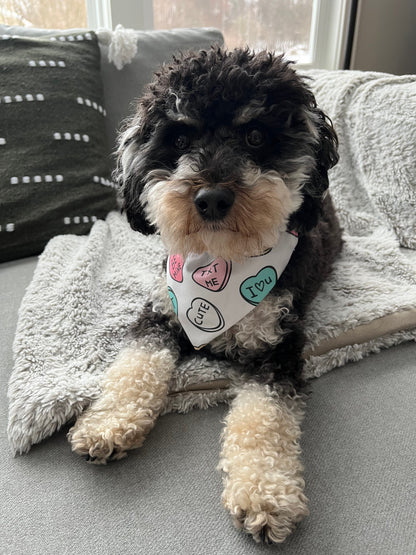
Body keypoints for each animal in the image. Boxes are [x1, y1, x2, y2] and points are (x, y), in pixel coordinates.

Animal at [67, 47, 342, 544]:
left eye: (256, 135)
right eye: (178, 139)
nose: (211, 198)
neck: (224, 261)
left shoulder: (276, 350)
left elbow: (264, 419)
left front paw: (265, 494)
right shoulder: (160, 315)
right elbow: (133, 368)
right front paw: (108, 423)